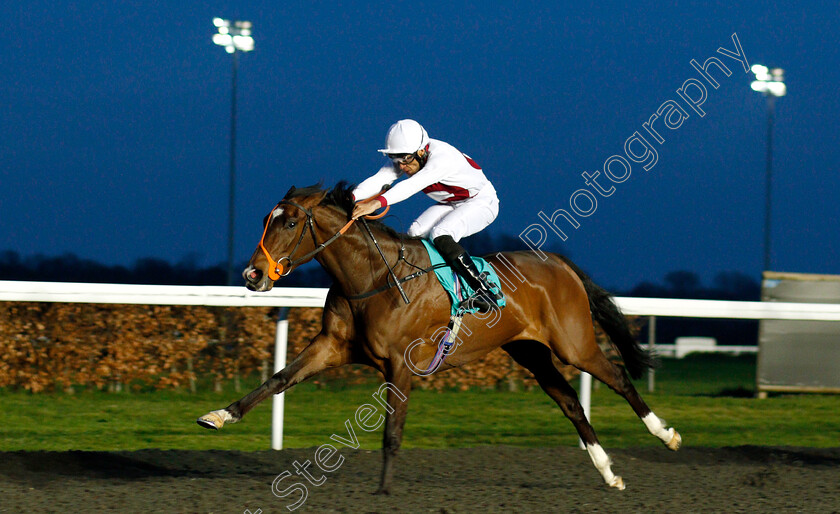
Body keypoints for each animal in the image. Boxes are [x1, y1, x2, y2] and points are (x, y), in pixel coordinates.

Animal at [199, 182, 684, 490]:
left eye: (289, 224)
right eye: (266, 219)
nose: (252, 275)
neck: (372, 278)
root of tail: (559, 262)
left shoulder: (400, 364)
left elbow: (392, 431)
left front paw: (383, 491)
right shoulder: (331, 346)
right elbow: (278, 379)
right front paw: (220, 415)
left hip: (574, 343)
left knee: (619, 379)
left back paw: (666, 435)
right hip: (531, 352)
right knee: (572, 405)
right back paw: (609, 472)